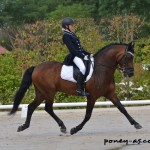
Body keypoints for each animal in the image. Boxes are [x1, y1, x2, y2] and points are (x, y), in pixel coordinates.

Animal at [9, 42, 142, 135]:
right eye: (128, 57)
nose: (130, 73)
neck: (101, 69)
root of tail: (36, 67)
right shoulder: (92, 96)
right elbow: (88, 115)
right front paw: (75, 129)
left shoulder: (110, 94)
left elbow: (122, 109)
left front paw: (136, 124)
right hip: (49, 92)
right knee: (48, 108)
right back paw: (62, 127)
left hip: (41, 93)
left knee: (32, 107)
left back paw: (24, 126)